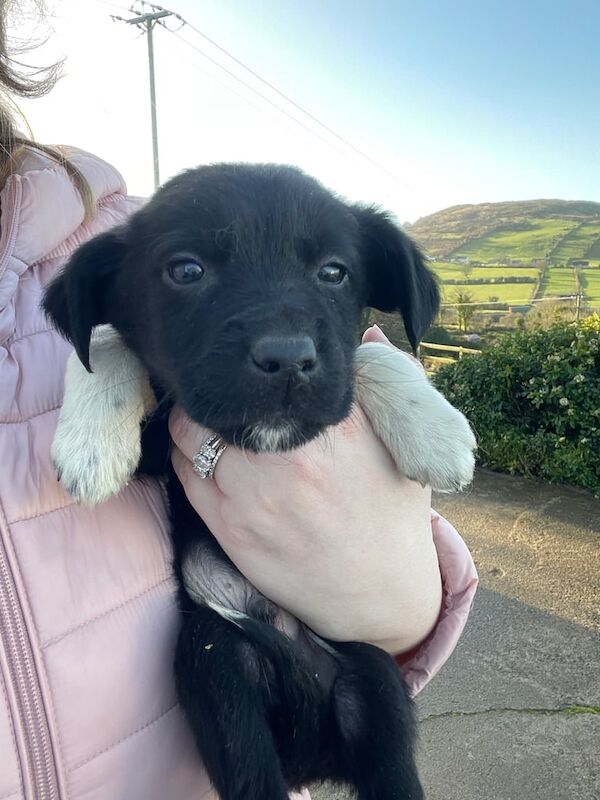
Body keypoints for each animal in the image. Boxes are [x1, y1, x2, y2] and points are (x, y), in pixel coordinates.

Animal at [43, 162, 478, 800]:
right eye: (186, 270)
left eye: (333, 272)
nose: (288, 359)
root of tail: (306, 755)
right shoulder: (166, 443)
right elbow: (104, 341)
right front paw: (89, 448)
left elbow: (370, 355)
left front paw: (437, 432)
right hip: (216, 666)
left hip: (375, 682)